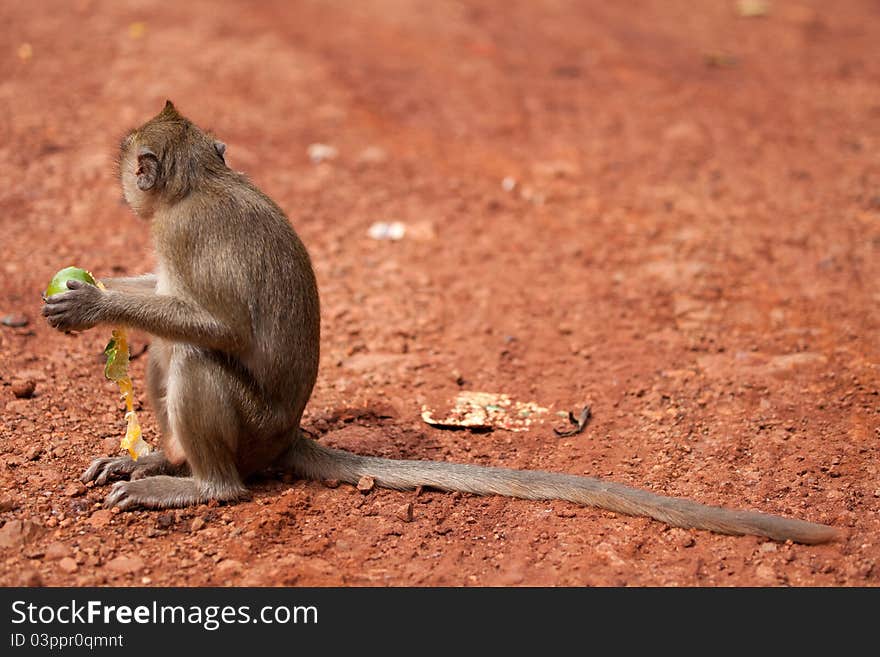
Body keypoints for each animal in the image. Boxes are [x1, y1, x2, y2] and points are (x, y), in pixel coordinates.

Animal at [43, 101, 840, 544]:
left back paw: (204, 485)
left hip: (252, 431)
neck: (200, 185)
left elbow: (222, 328)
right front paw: (87, 290)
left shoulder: (185, 231)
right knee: (166, 352)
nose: (121, 178)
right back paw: (164, 460)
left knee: (191, 360)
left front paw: (92, 304)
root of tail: (287, 435)